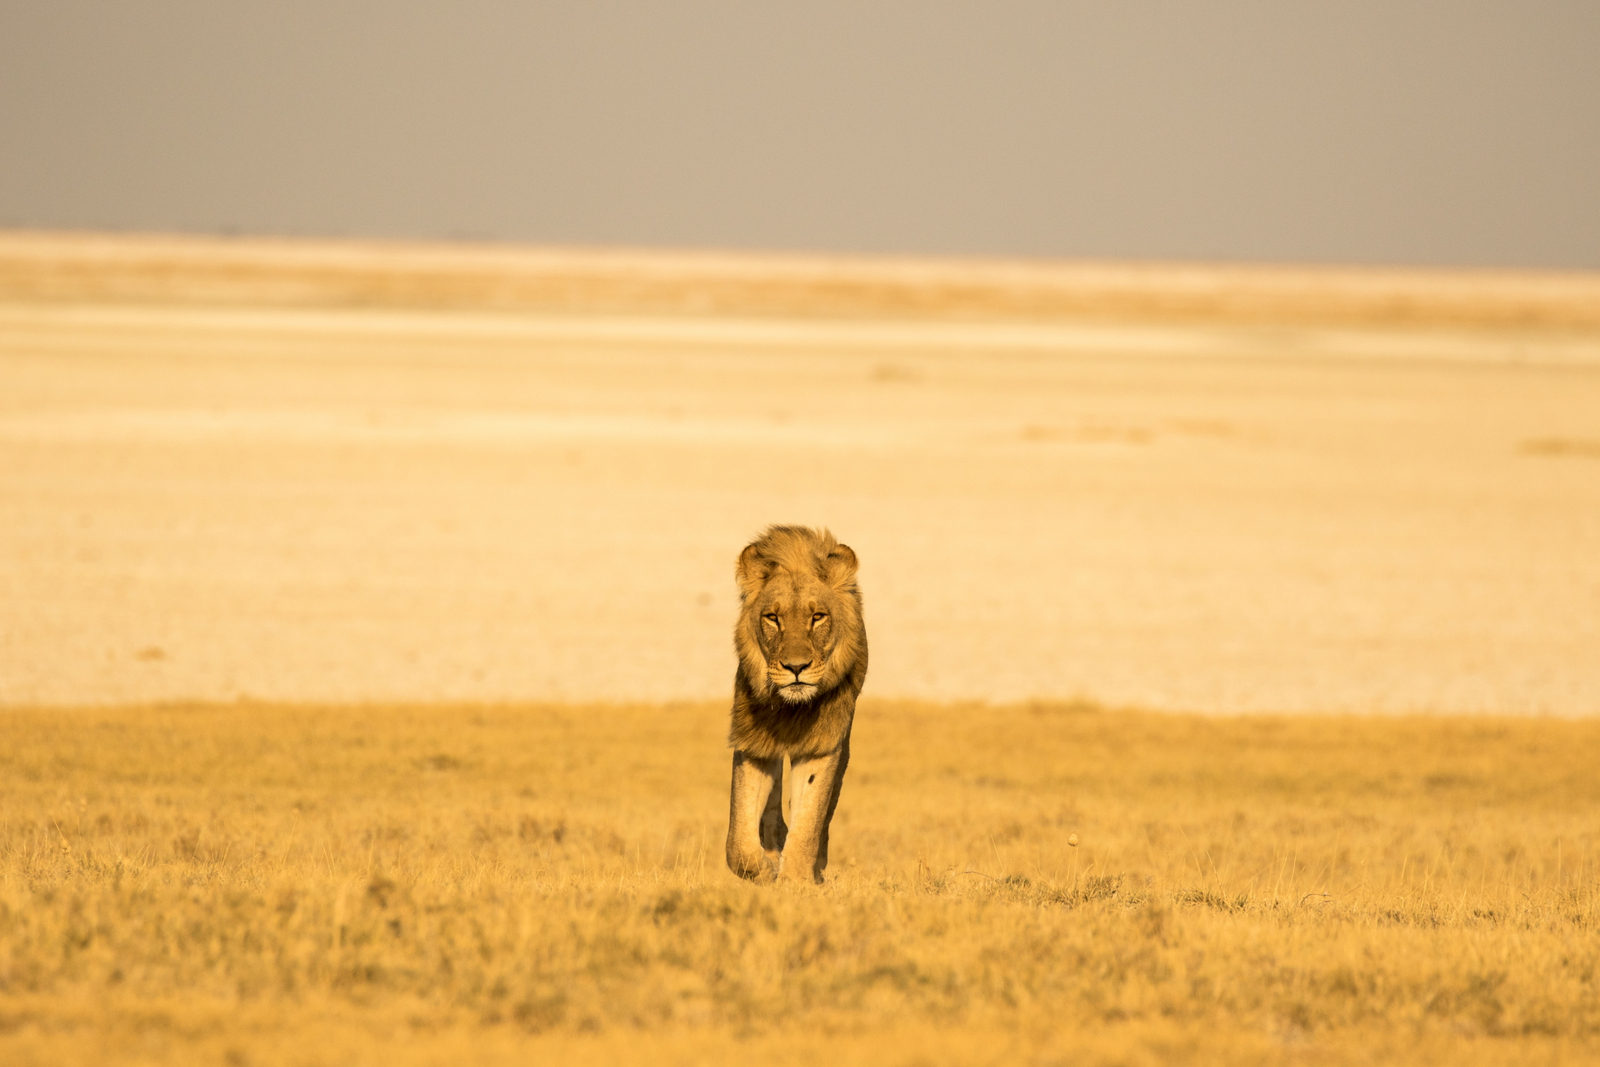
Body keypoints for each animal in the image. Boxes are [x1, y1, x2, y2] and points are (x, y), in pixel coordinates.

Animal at [725, 525, 867, 884]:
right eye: (772, 618)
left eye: (817, 617)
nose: (796, 667)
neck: (792, 709)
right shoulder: (754, 742)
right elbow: (738, 837)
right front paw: (764, 868)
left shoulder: (822, 744)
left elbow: (810, 820)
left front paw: (798, 880)